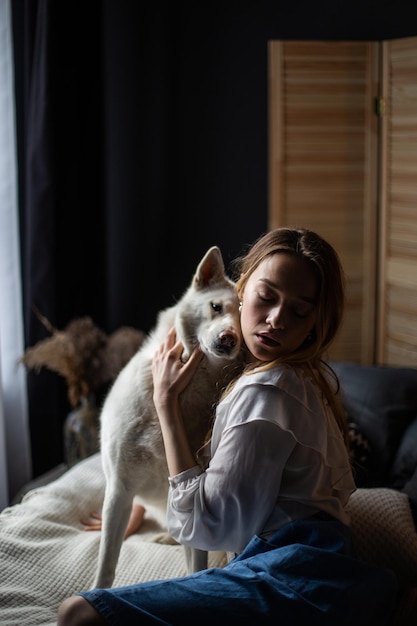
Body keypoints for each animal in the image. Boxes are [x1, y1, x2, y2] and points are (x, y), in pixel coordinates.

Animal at [92, 246, 242, 588]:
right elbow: (107, 562)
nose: (229, 338)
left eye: (246, 315)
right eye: (216, 307)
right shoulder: (119, 489)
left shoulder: (194, 500)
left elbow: (196, 565)